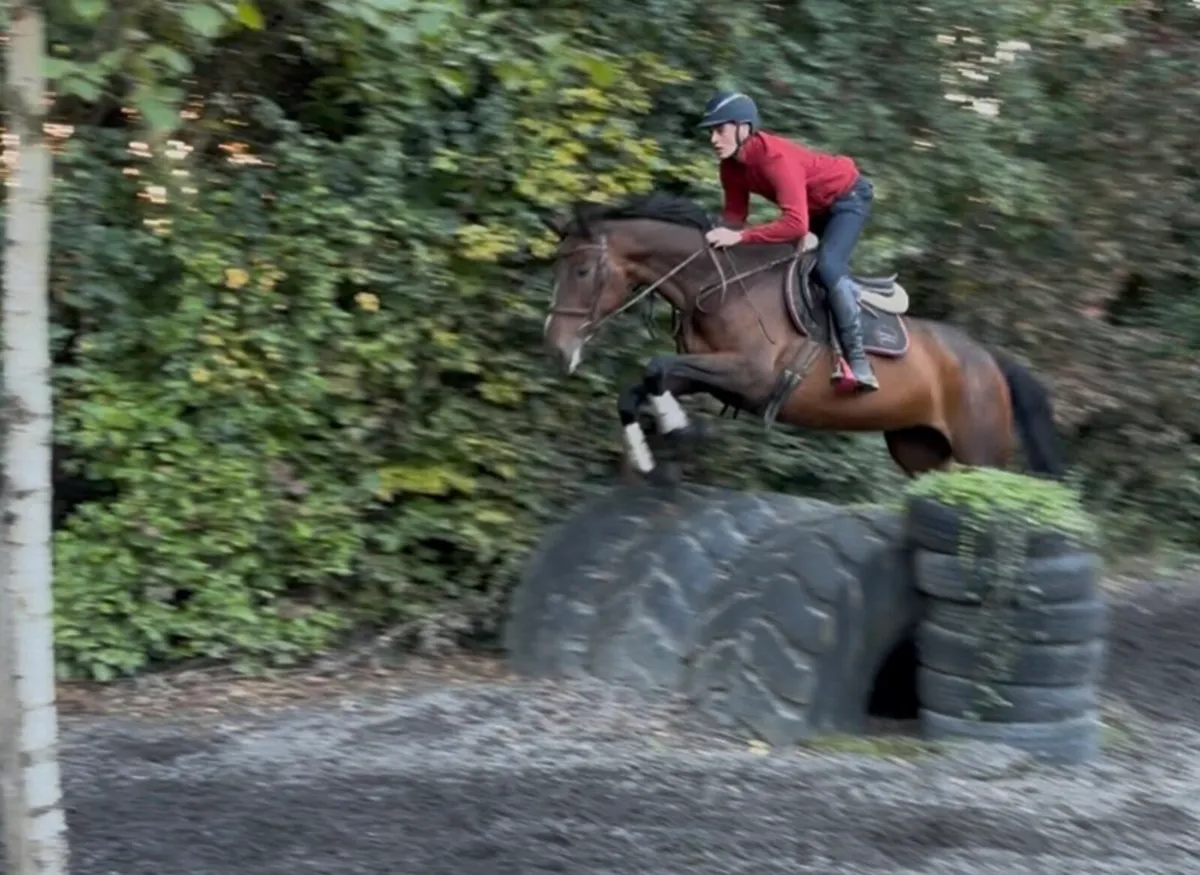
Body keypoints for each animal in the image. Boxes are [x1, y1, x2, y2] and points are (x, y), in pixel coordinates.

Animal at [540, 190, 1065, 482]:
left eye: (582, 271)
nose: (557, 348)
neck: (719, 287)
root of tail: (990, 360)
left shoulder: (750, 376)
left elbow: (654, 368)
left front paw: (682, 431)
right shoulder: (712, 374)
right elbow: (637, 389)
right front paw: (649, 455)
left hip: (980, 450)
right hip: (917, 446)